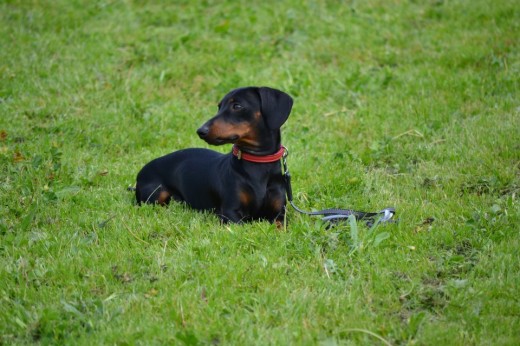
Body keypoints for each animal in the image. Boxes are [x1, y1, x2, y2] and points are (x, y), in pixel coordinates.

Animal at [135, 86, 292, 224]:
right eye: (219, 107)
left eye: (237, 106)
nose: (200, 131)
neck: (258, 164)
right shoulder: (230, 213)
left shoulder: (279, 214)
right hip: (156, 193)